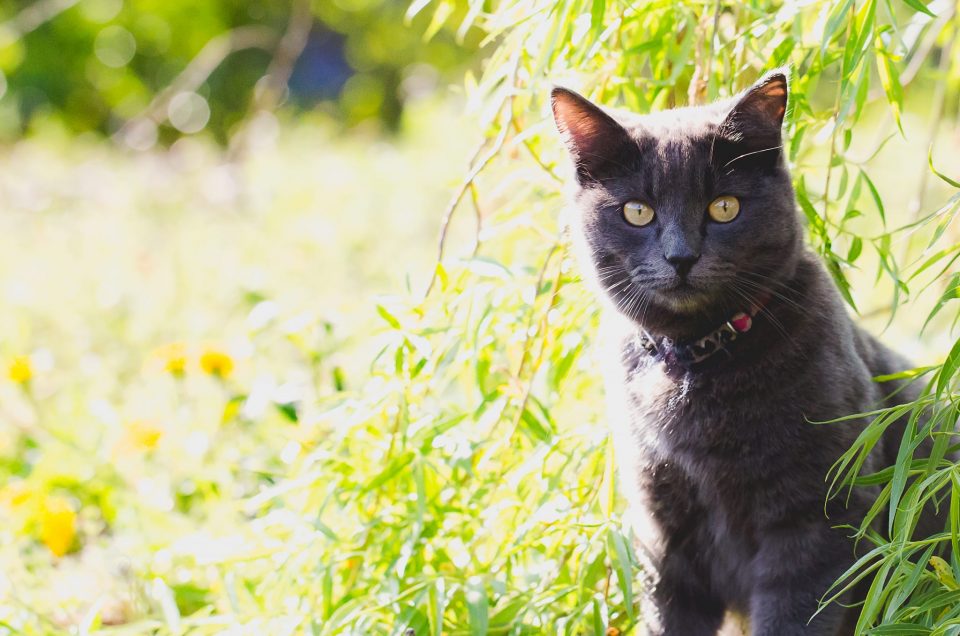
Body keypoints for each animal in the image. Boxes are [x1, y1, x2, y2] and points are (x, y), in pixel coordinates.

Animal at [552, 71, 932, 636]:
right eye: (637, 211)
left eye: (724, 207)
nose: (681, 256)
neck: (695, 360)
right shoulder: (663, 539)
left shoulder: (816, 519)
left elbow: (793, 615)